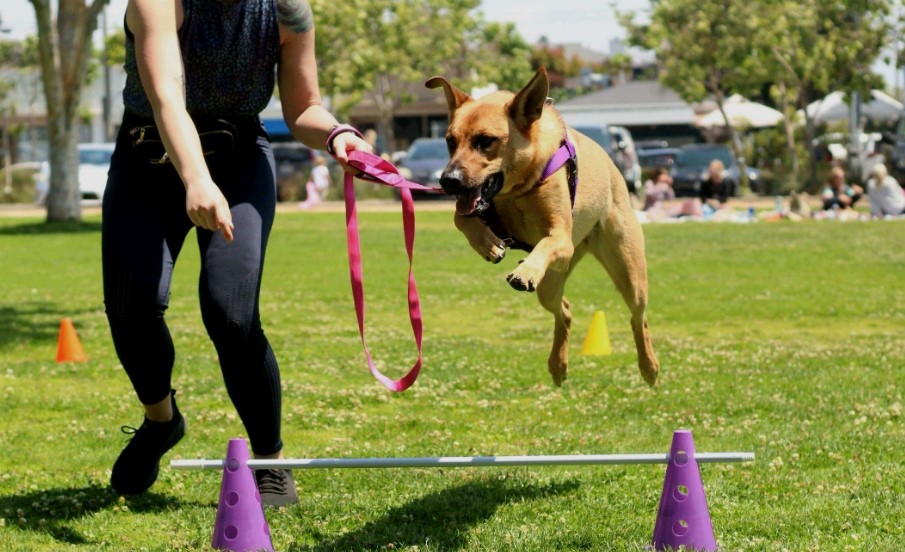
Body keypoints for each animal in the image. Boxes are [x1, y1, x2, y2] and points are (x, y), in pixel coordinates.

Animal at [424, 68, 656, 388]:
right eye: (450, 140)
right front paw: (487, 244)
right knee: (565, 312)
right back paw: (558, 365)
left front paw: (524, 272)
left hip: (628, 272)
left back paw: (649, 366)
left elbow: (546, 242)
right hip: (551, 283)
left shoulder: (560, 237)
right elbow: (461, 218)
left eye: (486, 141)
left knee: (638, 316)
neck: (516, 190)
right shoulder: (478, 207)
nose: (448, 181)